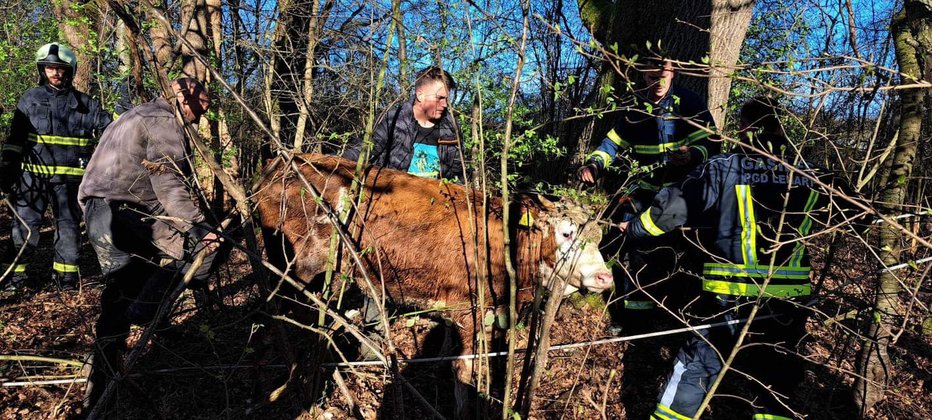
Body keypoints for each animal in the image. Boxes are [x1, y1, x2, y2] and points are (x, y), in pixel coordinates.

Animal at [256, 153, 612, 408]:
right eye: (566, 233)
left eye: (599, 237)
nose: (605, 276)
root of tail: (283, 161)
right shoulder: (470, 309)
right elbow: (463, 373)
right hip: (295, 260)